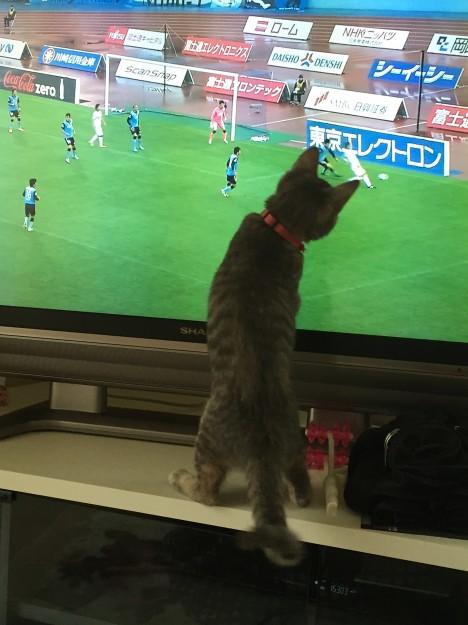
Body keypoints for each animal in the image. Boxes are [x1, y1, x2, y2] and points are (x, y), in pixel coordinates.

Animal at [169, 147, 358, 566]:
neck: (278, 227)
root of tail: (262, 446)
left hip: (207, 437)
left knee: (208, 491)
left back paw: (183, 480)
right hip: (294, 441)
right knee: (300, 481)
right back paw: (296, 492)